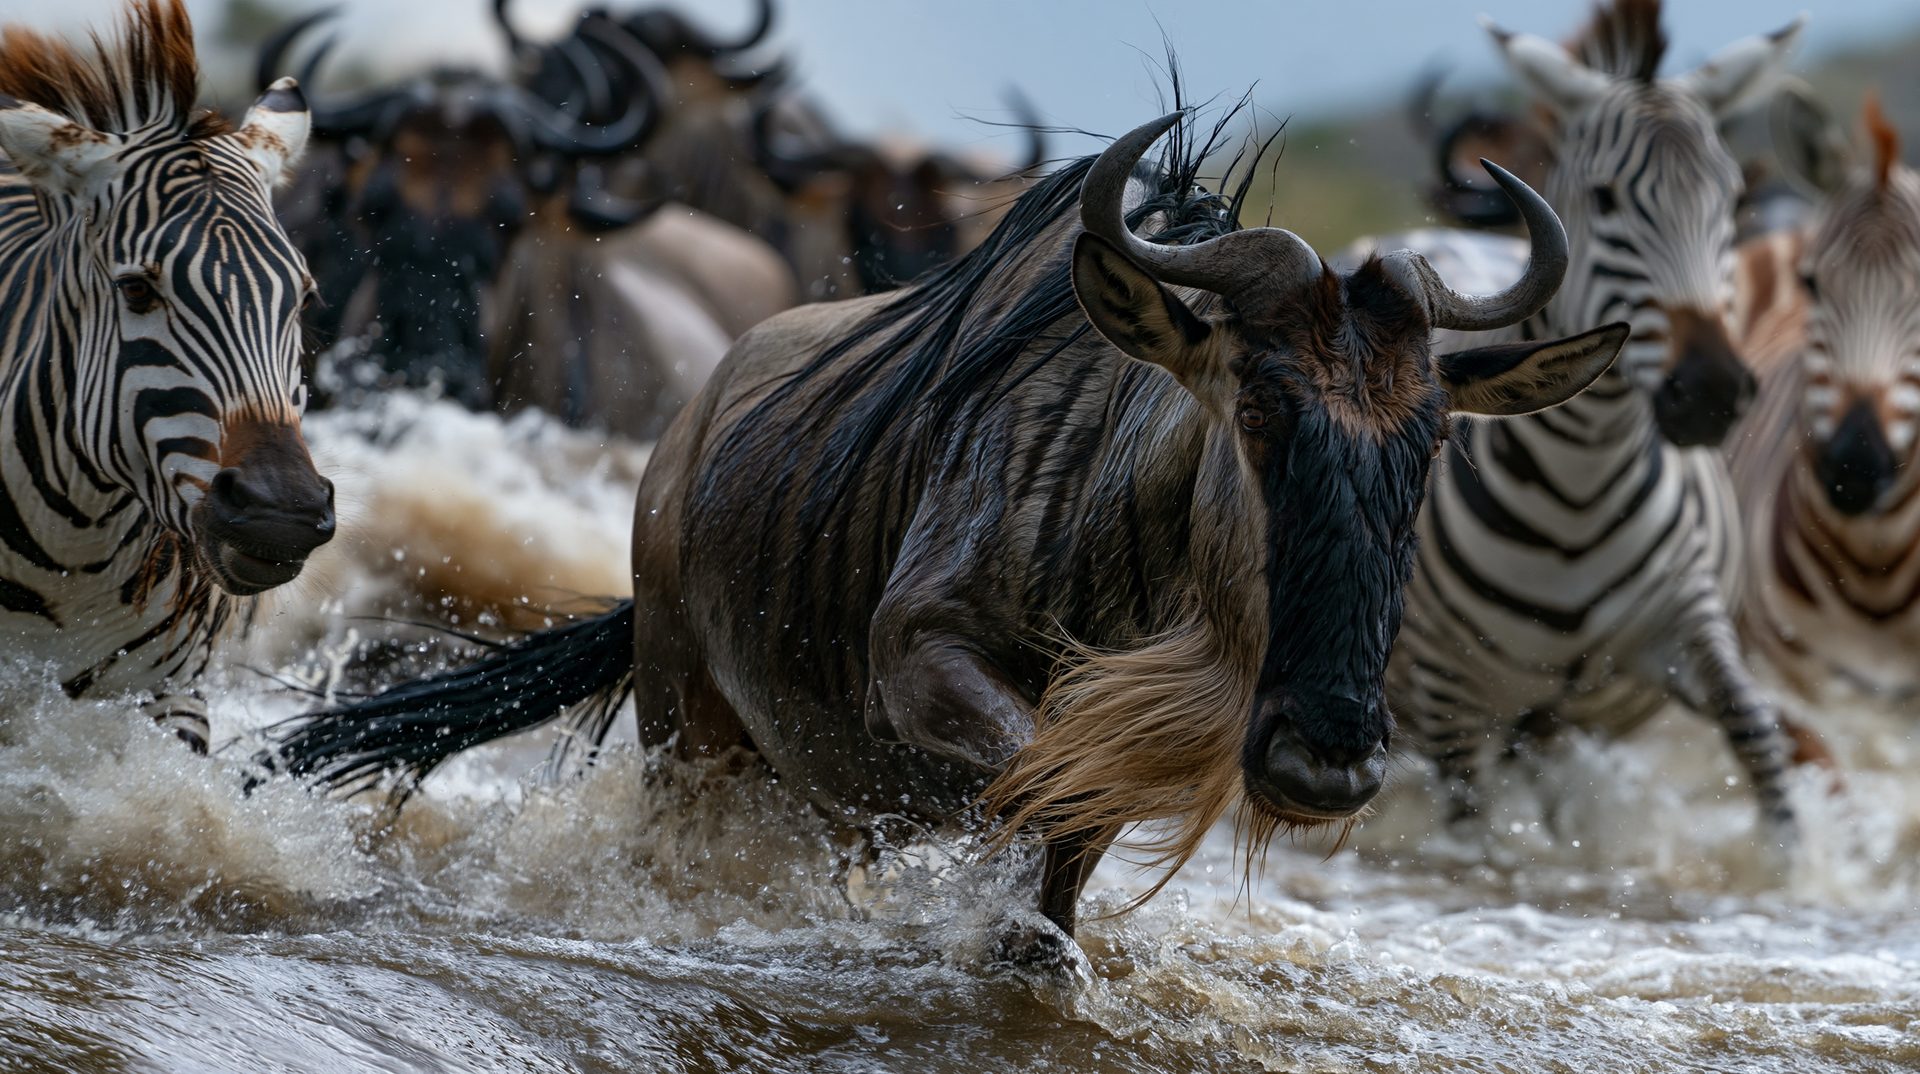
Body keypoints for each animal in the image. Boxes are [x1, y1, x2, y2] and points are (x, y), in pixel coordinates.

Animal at [1346, 0, 1804, 834]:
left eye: (1730, 204)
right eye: (1605, 200)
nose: (1711, 390)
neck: (1580, 488)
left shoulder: (1687, 624)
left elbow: (1757, 735)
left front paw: (1789, 854)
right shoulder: (1448, 696)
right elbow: (1475, 833)